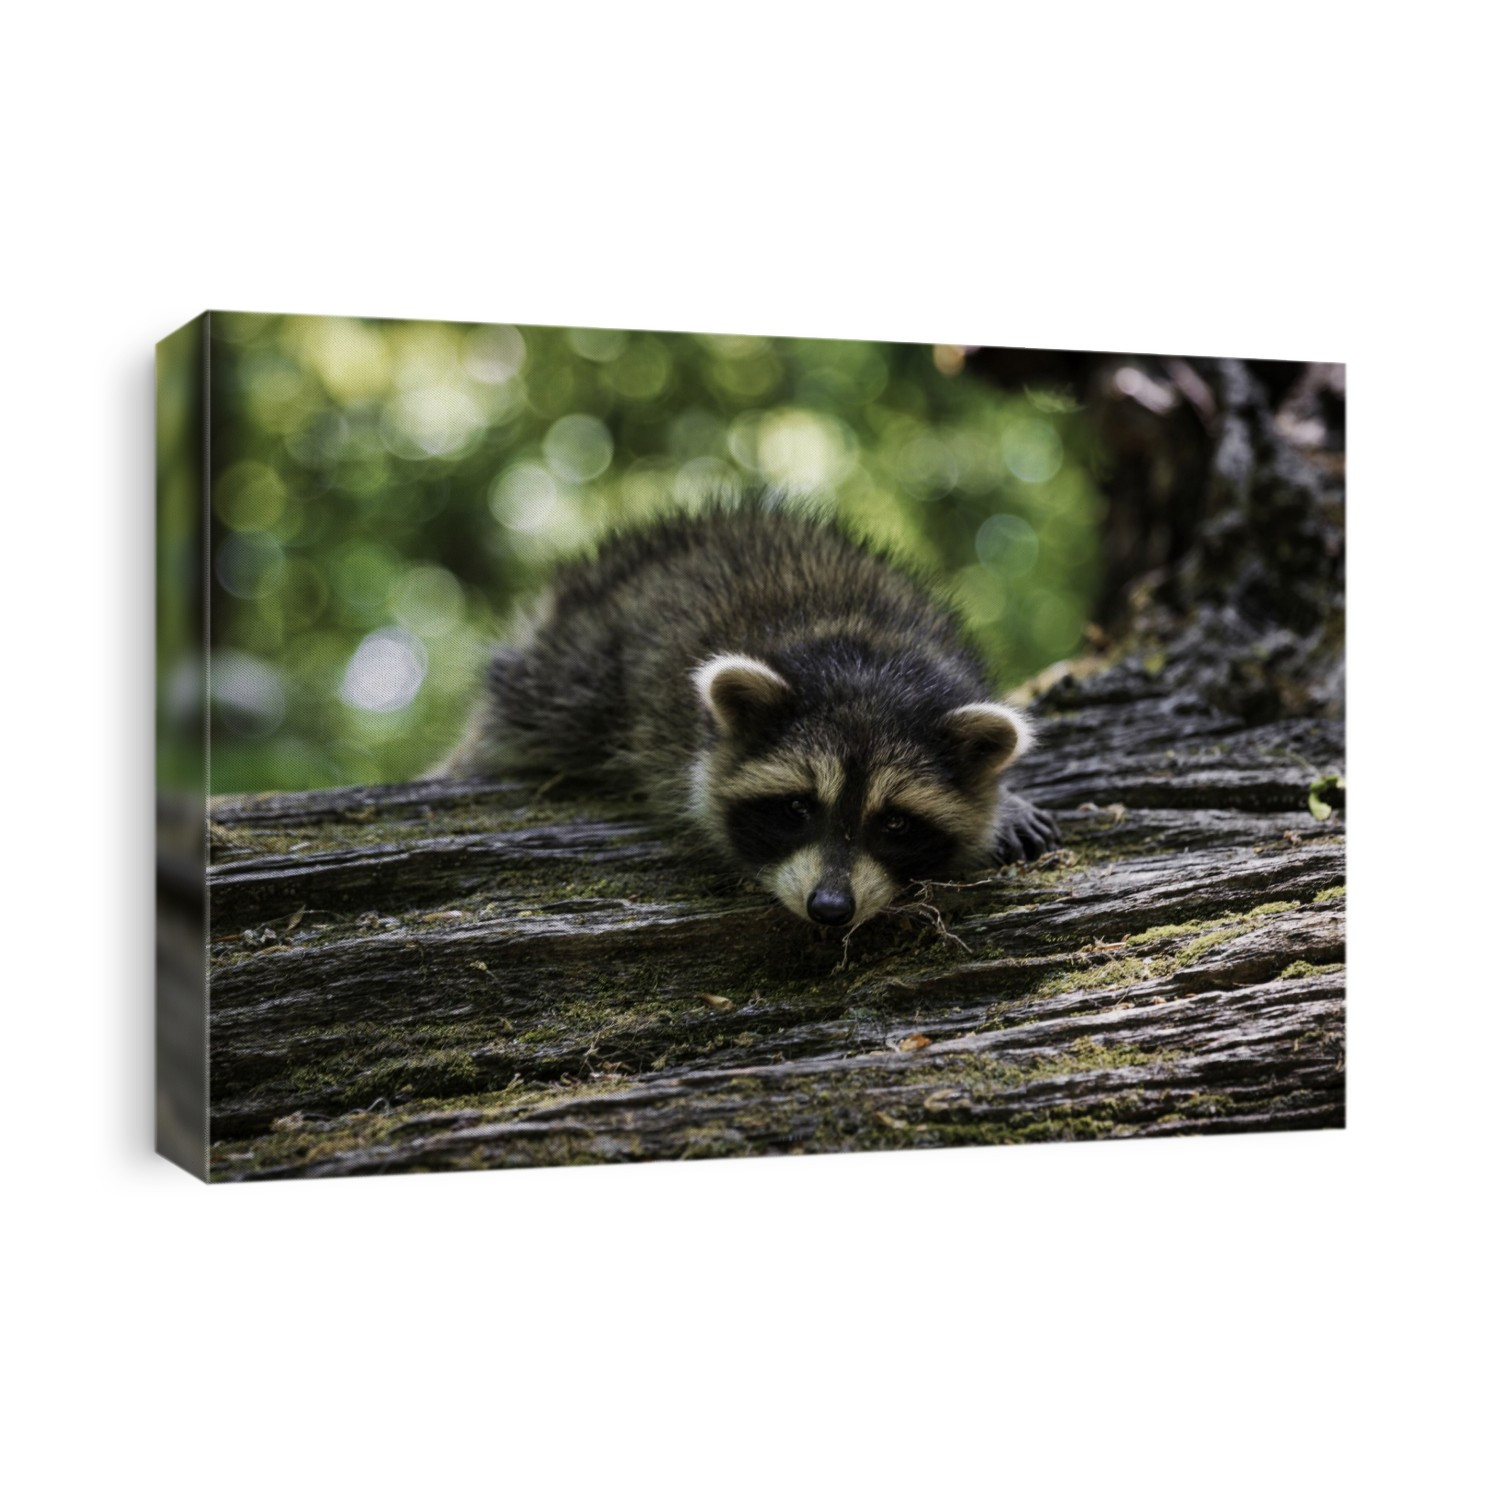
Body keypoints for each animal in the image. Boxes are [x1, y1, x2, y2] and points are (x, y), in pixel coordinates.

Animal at [443, 495, 1061, 924]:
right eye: (796, 807)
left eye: (895, 823)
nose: (829, 909)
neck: (870, 661)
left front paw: (1006, 800)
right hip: (573, 667)